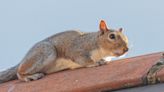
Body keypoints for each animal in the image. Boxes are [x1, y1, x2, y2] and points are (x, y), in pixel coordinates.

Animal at [0, 20, 128, 83]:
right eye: (112, 36)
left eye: (125, 36)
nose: (126, 49)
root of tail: (24, 59)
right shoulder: (77, 50)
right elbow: (85, 60)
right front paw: (96, 62)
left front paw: (102, 60)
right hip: (46, 52)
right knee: (19, 72)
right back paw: (29, 77)